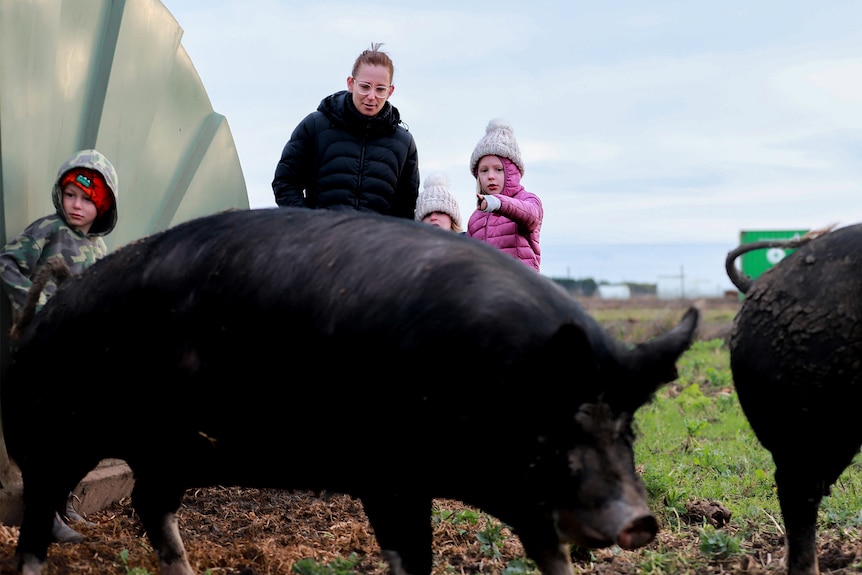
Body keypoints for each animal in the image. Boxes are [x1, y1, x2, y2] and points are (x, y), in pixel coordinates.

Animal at [3, 207, 700, 575]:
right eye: (558, 422)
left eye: (628, 428)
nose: (639, 519)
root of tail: (38, 321)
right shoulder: (388, 474)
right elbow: (411, 556)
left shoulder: (518, 498)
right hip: (56, 434)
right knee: (41, 508)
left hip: (170, 449)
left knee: (150, 503)